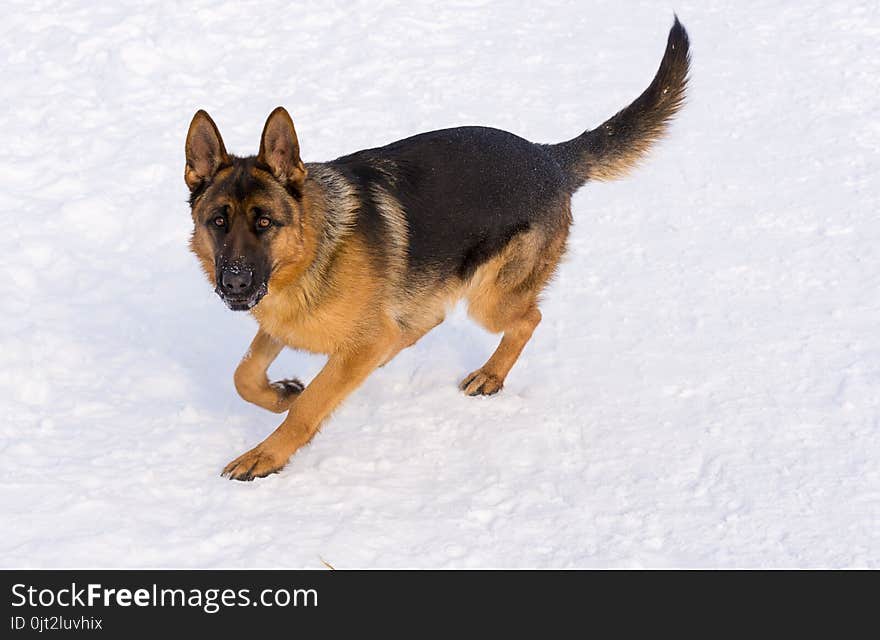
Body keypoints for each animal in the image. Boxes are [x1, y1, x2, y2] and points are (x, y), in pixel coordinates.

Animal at [186, 17, 692, 480]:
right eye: (218, 222)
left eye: (265, 223)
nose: (235, 283)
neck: (312, 250)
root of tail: (550, 156)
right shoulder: (282, 323)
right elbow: (244, 375)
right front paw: (280, 394)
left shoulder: (362, 340)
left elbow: (309, 406)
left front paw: (266, 455)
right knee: (426, 323)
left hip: (491, 300)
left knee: (528, 318)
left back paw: (491, 375)